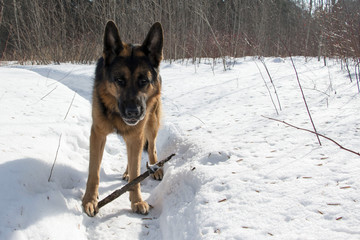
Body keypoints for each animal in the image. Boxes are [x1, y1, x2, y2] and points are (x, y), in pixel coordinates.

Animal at [83, 20, 163, 216]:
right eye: (119, 80)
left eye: (144, 81)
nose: (133, 112)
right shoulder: (97, 135)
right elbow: (94, 172)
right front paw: (89, 200)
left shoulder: (136, 135)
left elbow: (136, 173)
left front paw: (137, 201)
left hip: (151, 123)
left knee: (151, 147)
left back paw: (155, 167)